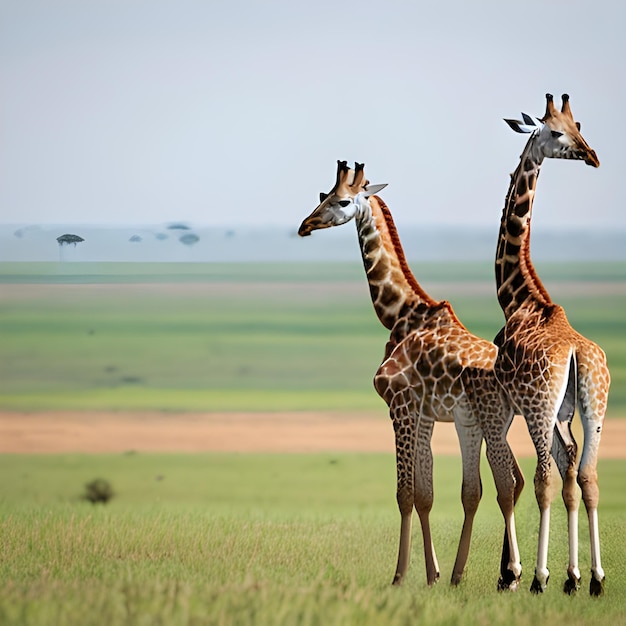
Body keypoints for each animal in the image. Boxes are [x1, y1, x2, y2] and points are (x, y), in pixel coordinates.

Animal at [298, 162, 520, 588]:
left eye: (343, 201)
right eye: (322, 196)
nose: (305, 225)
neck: (401, 314)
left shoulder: (399, 403)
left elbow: (404, 493)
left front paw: (400, 575)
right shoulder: (424, 413)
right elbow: (424, 494)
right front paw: (433, 574)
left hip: (489, 419)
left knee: (508, 482)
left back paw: (515, 573)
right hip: (490, 422)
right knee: (512, 481)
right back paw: (488, 574)